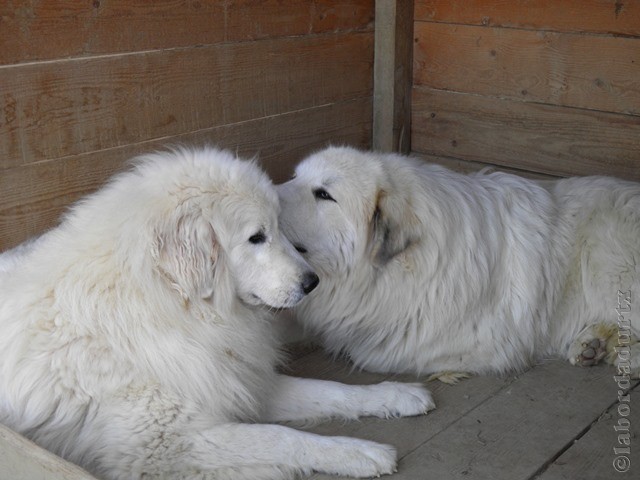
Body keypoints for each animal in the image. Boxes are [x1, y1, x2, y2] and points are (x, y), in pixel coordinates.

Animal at [0, 147, 436, 480]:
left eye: (279, 227)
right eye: (257, 237)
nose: (312, 282)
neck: (173, 307)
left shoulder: (236, 381)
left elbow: (331, 390)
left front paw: (394, 394)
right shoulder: (170, 445)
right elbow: (281, 437)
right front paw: (359, 451)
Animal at [276, 145, 640, 378]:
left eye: (324, 194)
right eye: (294, 177)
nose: (266, 193)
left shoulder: (482, 342)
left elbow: (369, 354)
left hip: (607, 261)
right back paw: (593, 344)